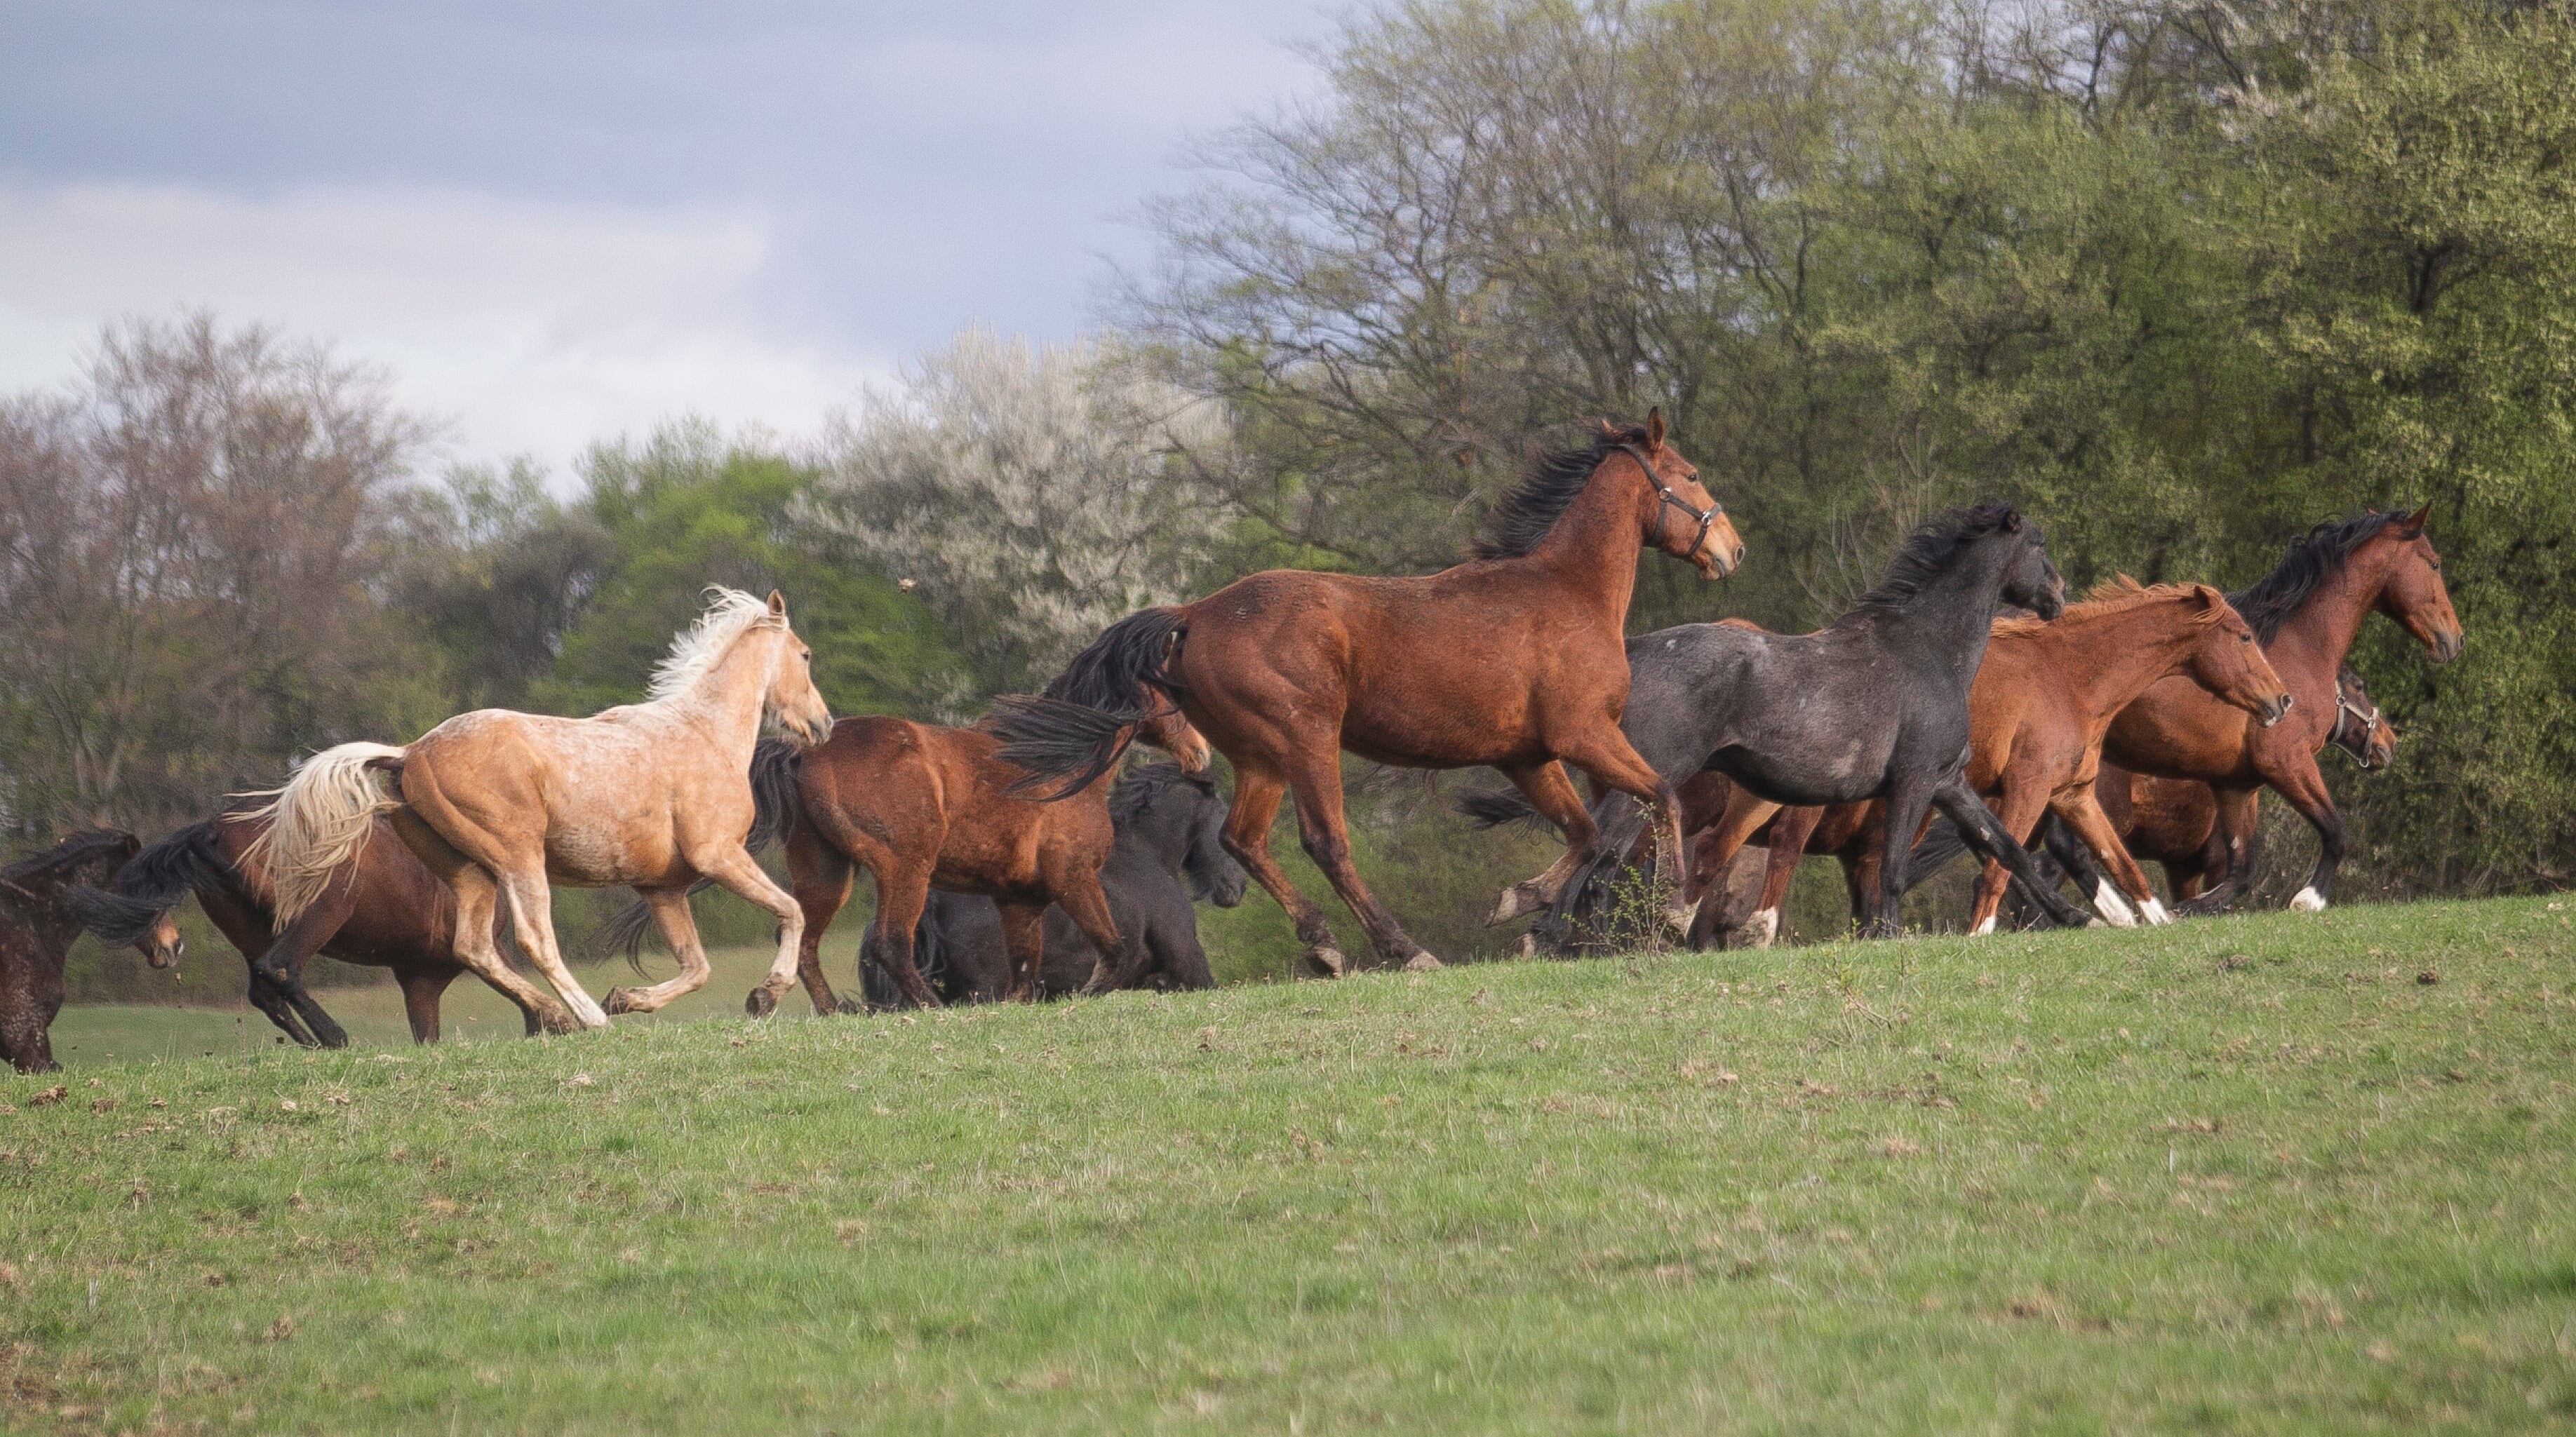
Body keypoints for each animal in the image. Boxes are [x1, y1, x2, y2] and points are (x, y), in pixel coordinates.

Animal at [63, 807, 541, 1047]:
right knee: (280, 969)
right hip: (324, 910)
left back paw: (313, 1043)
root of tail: (214, 831)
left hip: (255, 931)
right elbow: (528, 998)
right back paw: (335, 1037)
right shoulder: (476, 950)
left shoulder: (420, 980)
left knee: (264, 989)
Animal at [245, 587, 833, 1031]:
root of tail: (411, 751)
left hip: (470, 871)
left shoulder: (662, 887)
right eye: (805, 654)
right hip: (518, 858)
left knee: (475, 948)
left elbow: (698, 967)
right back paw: (591, 1016)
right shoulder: (719, 856)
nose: (824, 723)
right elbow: (792, 911)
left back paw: (556, 1015)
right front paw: (765, 995)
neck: (704, 732)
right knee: (534, 938)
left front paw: (629, 996)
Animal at [985, 411, 1742, 977]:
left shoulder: (1526, 756)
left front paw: (1520, 911)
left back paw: (1323, 944)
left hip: (1259, 758)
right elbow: (1661, 798)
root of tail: (1195, 612)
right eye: (1692, 475)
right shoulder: (1583, 734)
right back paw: (1404, 950)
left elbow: (1584, 835)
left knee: (1244, 841)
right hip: (1307, 740)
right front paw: (1674, 910)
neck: (1567, 591)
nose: (1732, 550)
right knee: (1327, 843)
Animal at [1472, 504, 2099, 941]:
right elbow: (1894, 871)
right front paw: (1889, 938)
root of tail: (1639, 651)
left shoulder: (1948, 782)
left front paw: (2074, 916)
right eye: (2038, 544)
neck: (1928, 648)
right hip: (1653, 780)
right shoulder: (1914, 781)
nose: (2059, 596)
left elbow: (2007, 850)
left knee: (1603, 860)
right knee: (1601, 854)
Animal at [2101, 507, 2460, 914]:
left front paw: (2194, 908)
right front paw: (2309, 899)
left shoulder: (2237, 785)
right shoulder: (2287, 761)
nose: (2455, 639)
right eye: (2434, 563)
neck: (2299, 648)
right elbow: (2336, 831)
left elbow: (2240, 873)